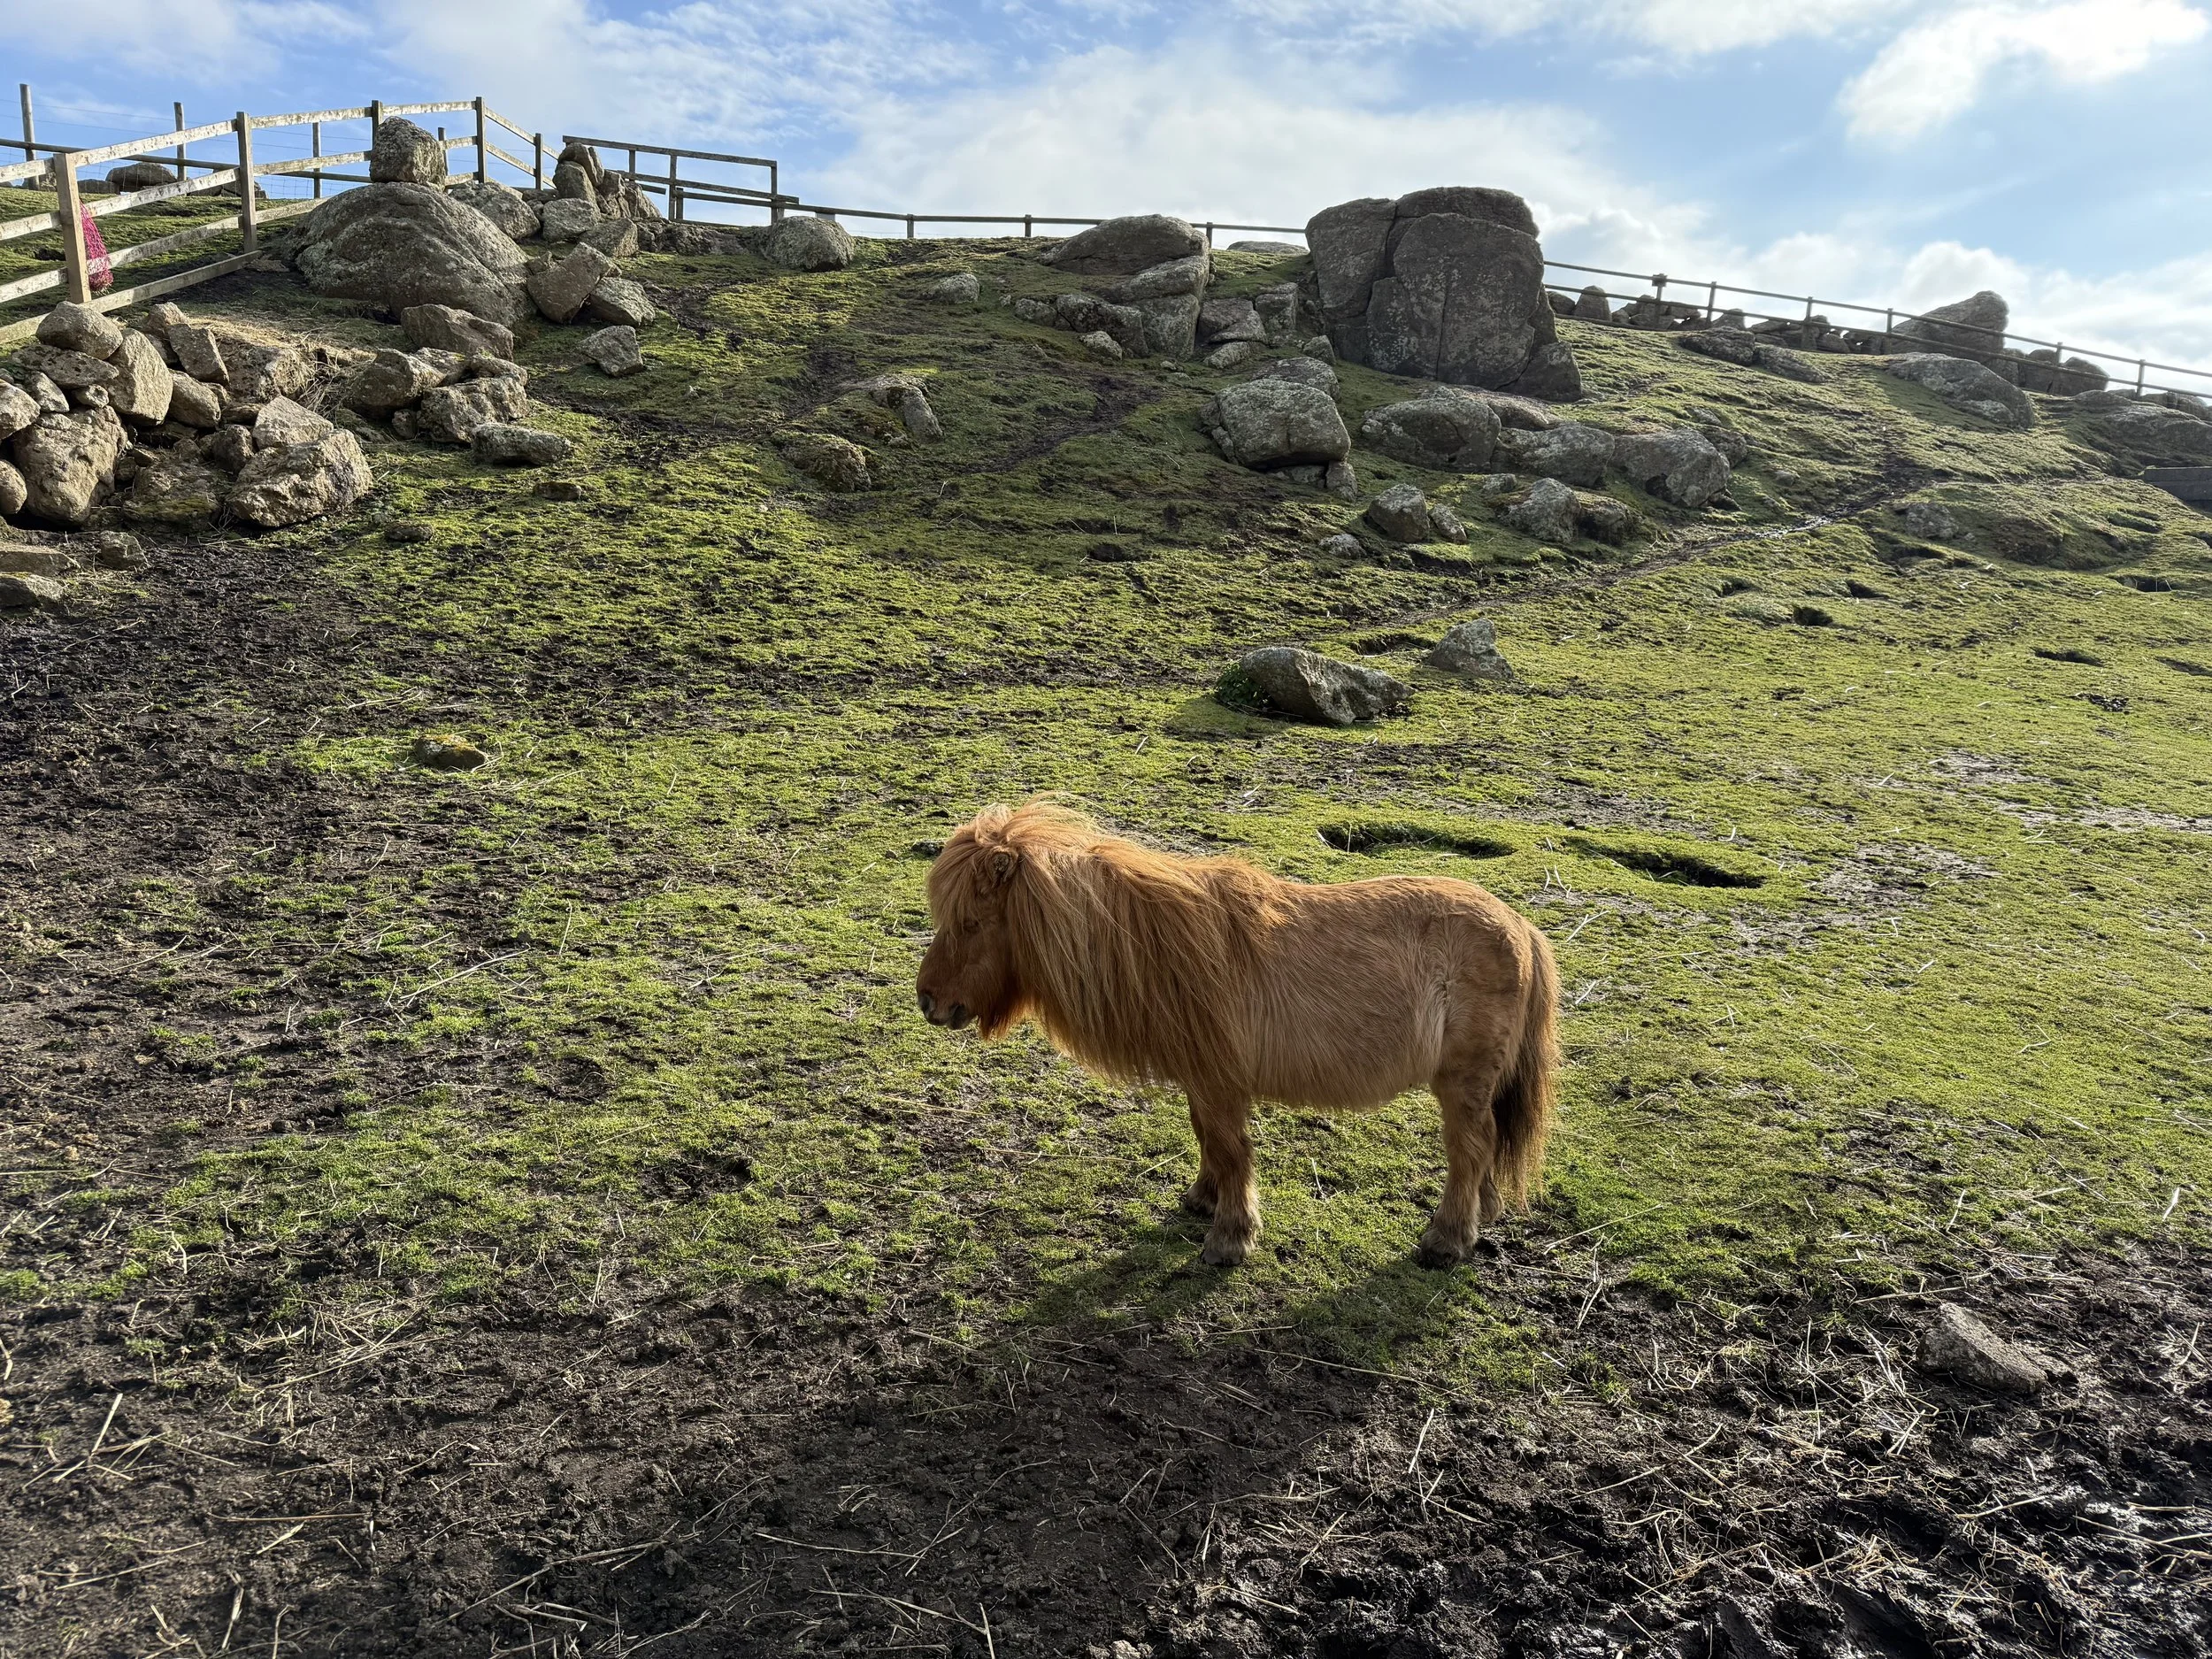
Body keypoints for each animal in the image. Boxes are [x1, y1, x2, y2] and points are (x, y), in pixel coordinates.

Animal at [915, 802, 1560, 1267]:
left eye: (970, 923)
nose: (928, 1002)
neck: (1155, 947)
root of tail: (1521, 926)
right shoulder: (1203, 1081)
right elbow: (1207, 1140)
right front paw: (1203, 1201)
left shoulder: (1219, 1080)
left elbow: (1230, 1149)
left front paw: (1229, 1238)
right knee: (1485, 1148)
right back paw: (1481, 1216)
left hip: (1461, 1081)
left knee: (1469, 1147)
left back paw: (1446, 1239)